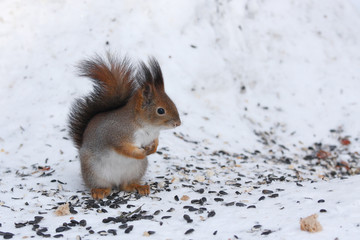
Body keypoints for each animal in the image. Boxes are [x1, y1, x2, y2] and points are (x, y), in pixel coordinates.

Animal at [68, 53, 180, 200]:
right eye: (160, 110)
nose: (178, 123)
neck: (147, 127)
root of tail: (116, 181)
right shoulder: (116, 134)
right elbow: (124, 149)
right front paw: (141, 153)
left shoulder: (153, 136)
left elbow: (155, 142)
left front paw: (153, 148)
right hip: (94, 171)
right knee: (105, 186)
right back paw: (100, 191)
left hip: (135, 170)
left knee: (125, 186)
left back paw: (139, 187)